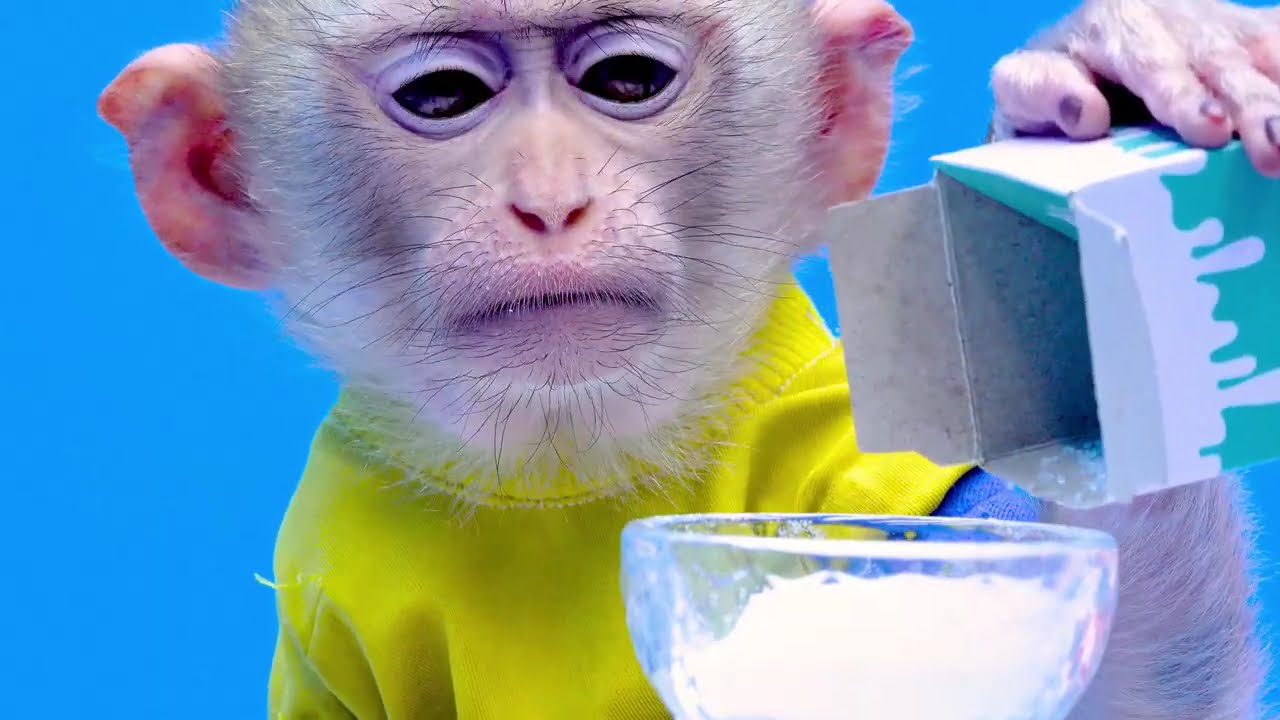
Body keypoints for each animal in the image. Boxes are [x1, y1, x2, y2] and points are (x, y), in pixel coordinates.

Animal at [98, 0, 1278, 717]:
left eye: (626, 79)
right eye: (442, 97)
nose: (549, 198)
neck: (570, 469)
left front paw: (1113, 76)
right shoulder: (324, 596)